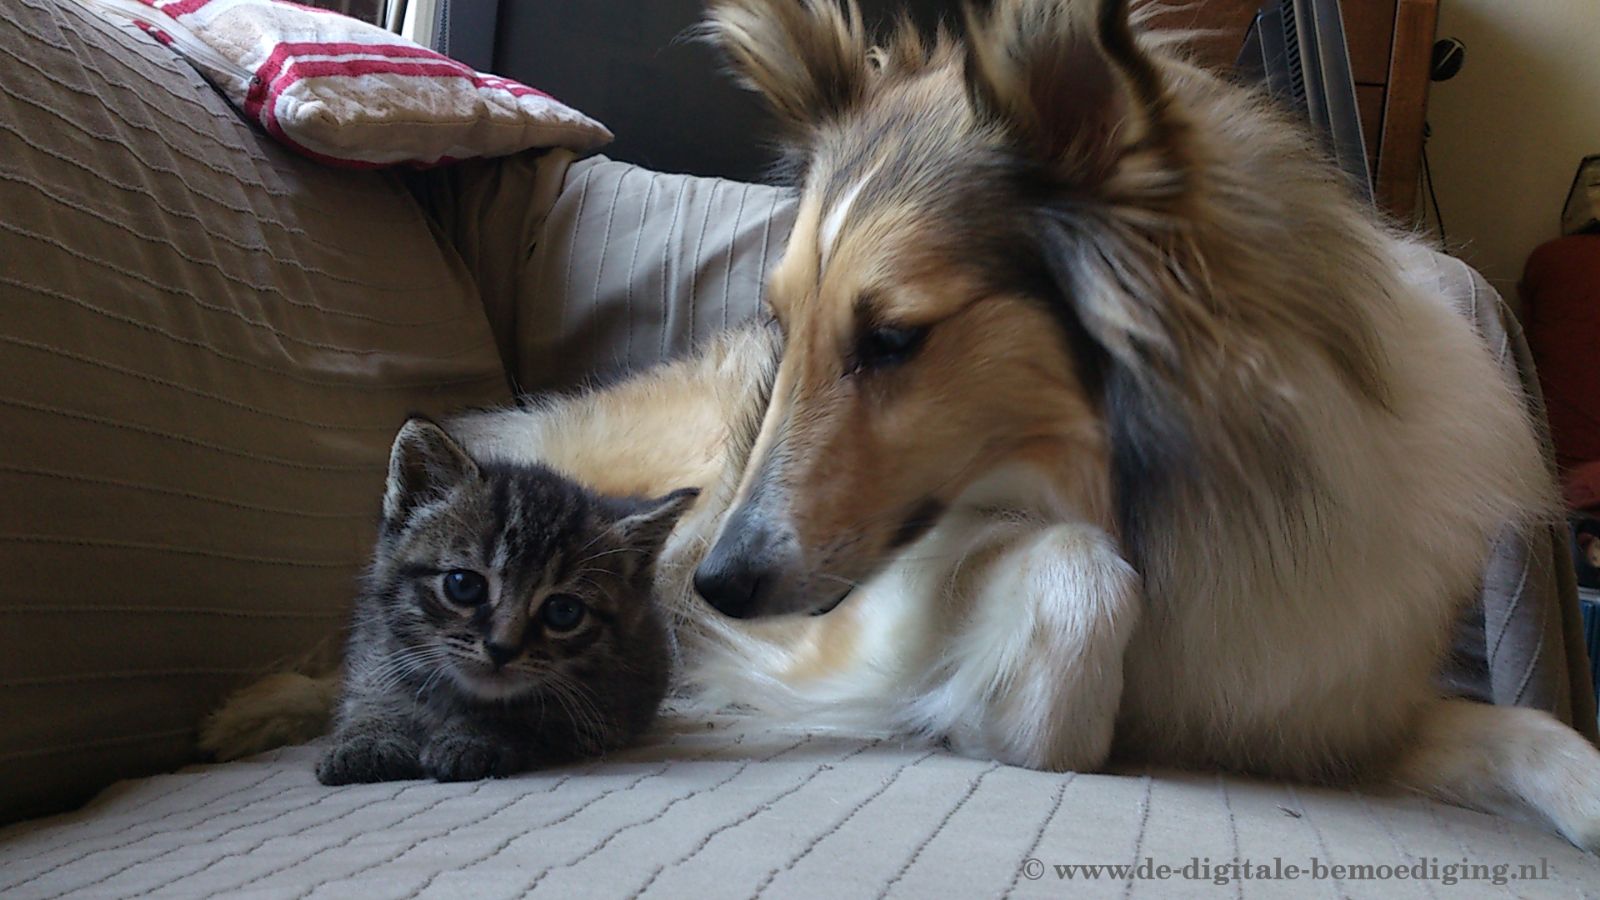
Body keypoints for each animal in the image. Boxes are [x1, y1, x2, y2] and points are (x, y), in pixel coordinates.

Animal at [320, 416, 700, 781]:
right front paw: (368, 737)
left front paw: (476, 735)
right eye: (463, 585)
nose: (501, 648)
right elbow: (371, 692)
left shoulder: (610, 706)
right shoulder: (375, 647)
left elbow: (533, 714)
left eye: (564, 611)